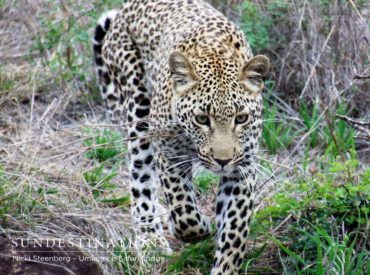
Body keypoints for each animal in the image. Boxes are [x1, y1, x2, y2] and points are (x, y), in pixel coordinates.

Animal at [92, 1, 268, 274]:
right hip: (138, 108)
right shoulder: (170, 155)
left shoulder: (243, 168)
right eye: (202, 119)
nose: (223, 161)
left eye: (241, 118)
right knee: (140, 177)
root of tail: (126, 8)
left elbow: (234, 232)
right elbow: (184, 211)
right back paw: (149, 237)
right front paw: (198, 227)